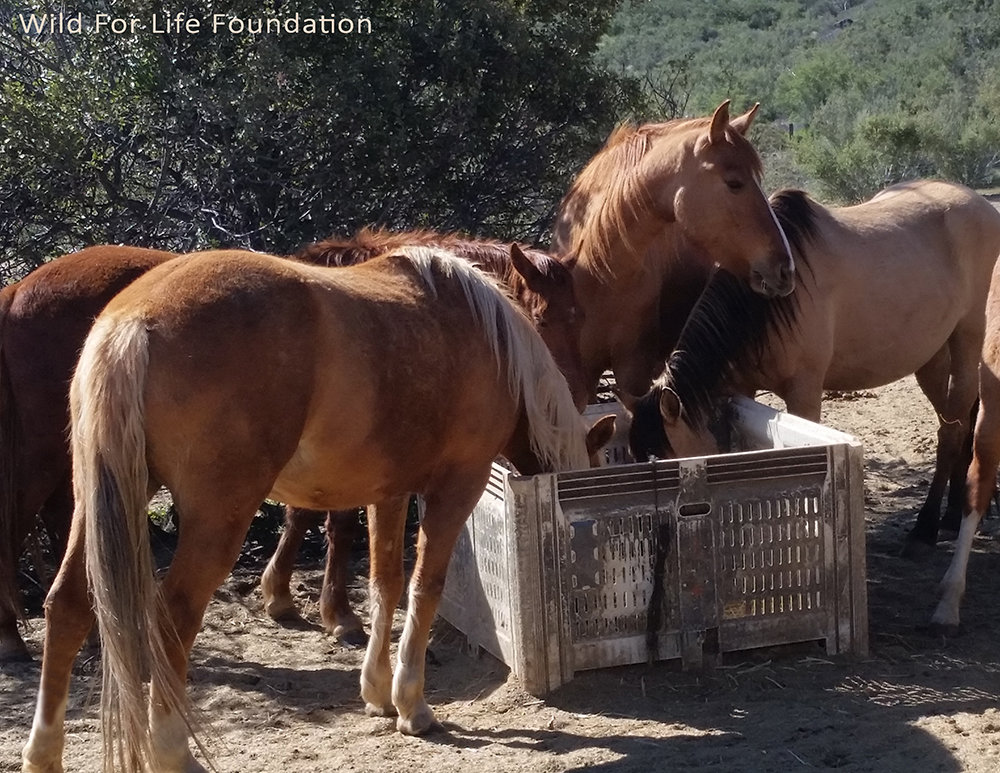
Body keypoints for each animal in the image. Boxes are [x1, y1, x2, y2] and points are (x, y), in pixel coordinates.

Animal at [23, 244, 612, 768]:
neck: (485, 334)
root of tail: (134, 319)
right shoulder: (454, 489)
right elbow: (425, 588)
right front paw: (412, 706)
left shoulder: (389, 493)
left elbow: (385, 583)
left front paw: (377, 691)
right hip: (217, 520)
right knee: (173, 618)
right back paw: (173, 754)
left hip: (101, 502)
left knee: (68, 606)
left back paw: (43, 754)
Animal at [624, 179, 1000, 556]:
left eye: (671, 463)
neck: (763, 307)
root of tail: (981, 205)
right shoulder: (743, 392)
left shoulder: (803, 391)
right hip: (932, 359)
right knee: (960, 423)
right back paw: (953, 514)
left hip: (967, 344)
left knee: (952, 433)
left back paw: (927, 526)